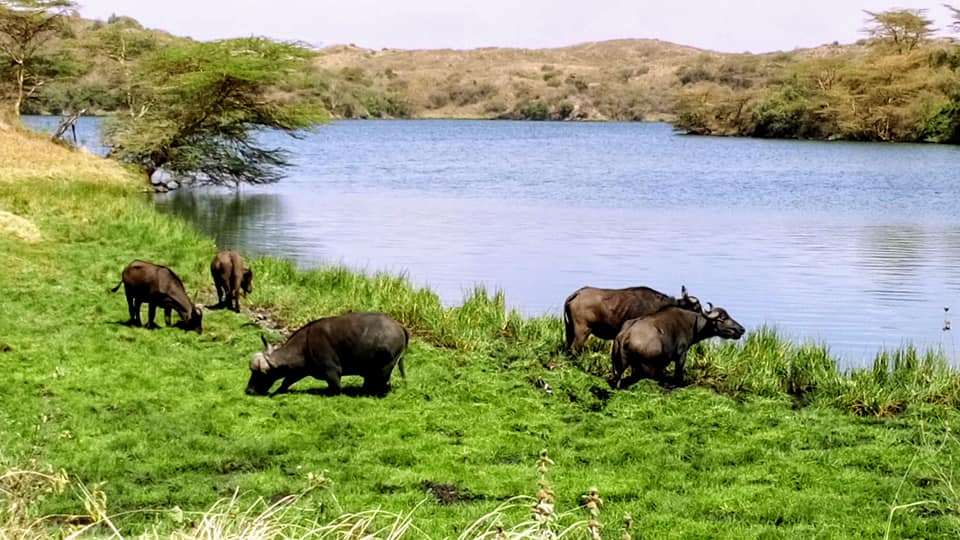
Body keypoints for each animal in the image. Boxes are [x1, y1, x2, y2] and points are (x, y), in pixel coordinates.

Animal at [246, 312, 409, 397]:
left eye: (261, 374)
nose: (249, 390)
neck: (305, 346)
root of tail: (399, 326)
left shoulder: (332, 371)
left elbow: (336, 389)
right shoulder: (298, 371)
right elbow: (286, 381)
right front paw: (279, 391)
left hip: (384, 367)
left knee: (382, 382)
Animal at [610, 304, 744, 389]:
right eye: (723, 318)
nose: (741, 329)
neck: (693, 324)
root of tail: (625, 335)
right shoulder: (681, 355)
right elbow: (678, 374)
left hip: (619, 365)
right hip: (646, 367)